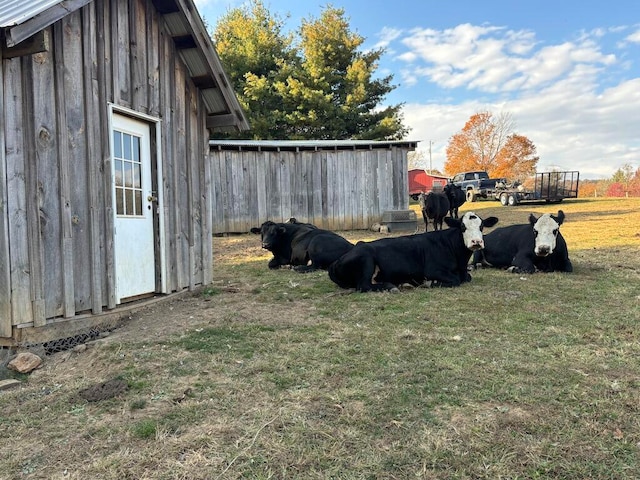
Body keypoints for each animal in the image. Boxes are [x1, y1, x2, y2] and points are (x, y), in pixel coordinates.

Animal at [330, 211, 500, 292]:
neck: (461, 262)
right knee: (364, 286)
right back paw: (391, 287)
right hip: (366, 260)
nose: (476, 242)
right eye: (463, 227)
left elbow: (467, 278)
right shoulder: (433, 270)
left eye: (482, 226)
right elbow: (455, 280)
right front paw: (430, 283)